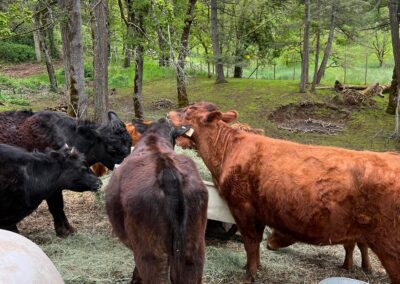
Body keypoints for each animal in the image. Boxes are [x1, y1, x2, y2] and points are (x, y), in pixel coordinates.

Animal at [168, 102, 400, 284]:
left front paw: (249, 275)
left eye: (189, 110)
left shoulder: (242, 207)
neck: (227, 151)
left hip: (389, 246)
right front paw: (256, 268)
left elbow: (250, 242)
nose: (168, 114)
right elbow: (256, 243)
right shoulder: (259, 211)